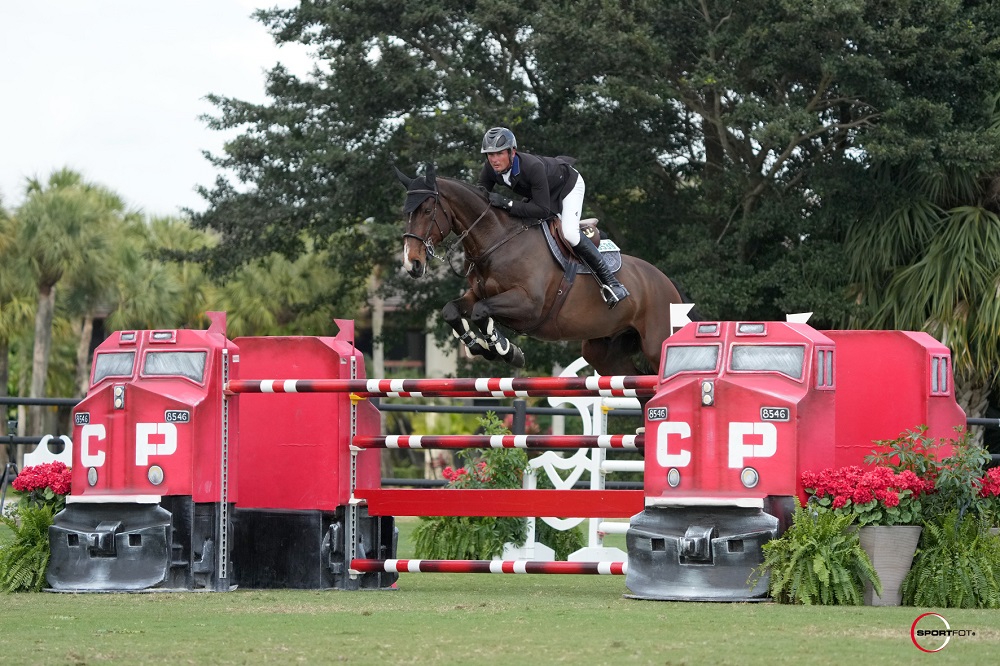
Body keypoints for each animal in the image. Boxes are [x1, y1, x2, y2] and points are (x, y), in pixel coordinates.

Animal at [395, 164, 686, 377]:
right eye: (405, 212)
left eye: (427, 209)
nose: (412, 263)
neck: (498, 240)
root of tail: (667, 283)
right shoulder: (477, 294)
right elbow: (452, 310)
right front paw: (484, 347)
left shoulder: (529, 305)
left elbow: (481, 312)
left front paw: (503, 348)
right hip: (603, 352)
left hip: (656, 344)